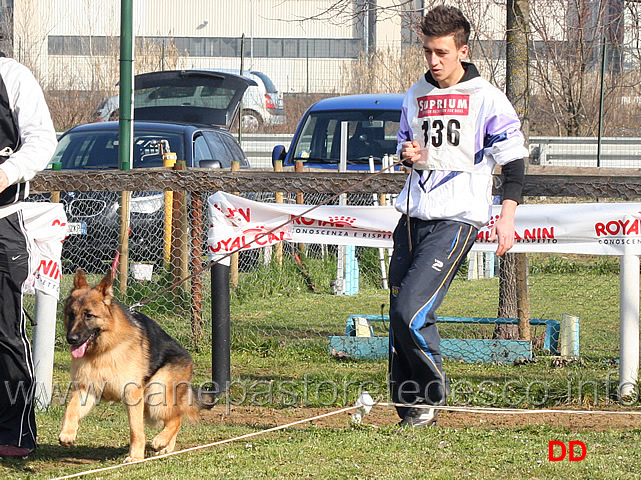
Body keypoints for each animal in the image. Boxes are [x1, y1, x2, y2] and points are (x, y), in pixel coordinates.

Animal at [58, 270, 212, 462]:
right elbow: (70, 409)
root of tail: (188, 357)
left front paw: (136, 457)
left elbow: (135, 429)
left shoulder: (132, 394)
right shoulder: (86, 390)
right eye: (71, 314)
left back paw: (161, 441)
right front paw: (67, 434)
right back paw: (166, 447)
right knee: (174, 417)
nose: (71, 339)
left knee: (176, 418)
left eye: (89, 315)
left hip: (155, 393)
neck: (104, 350)